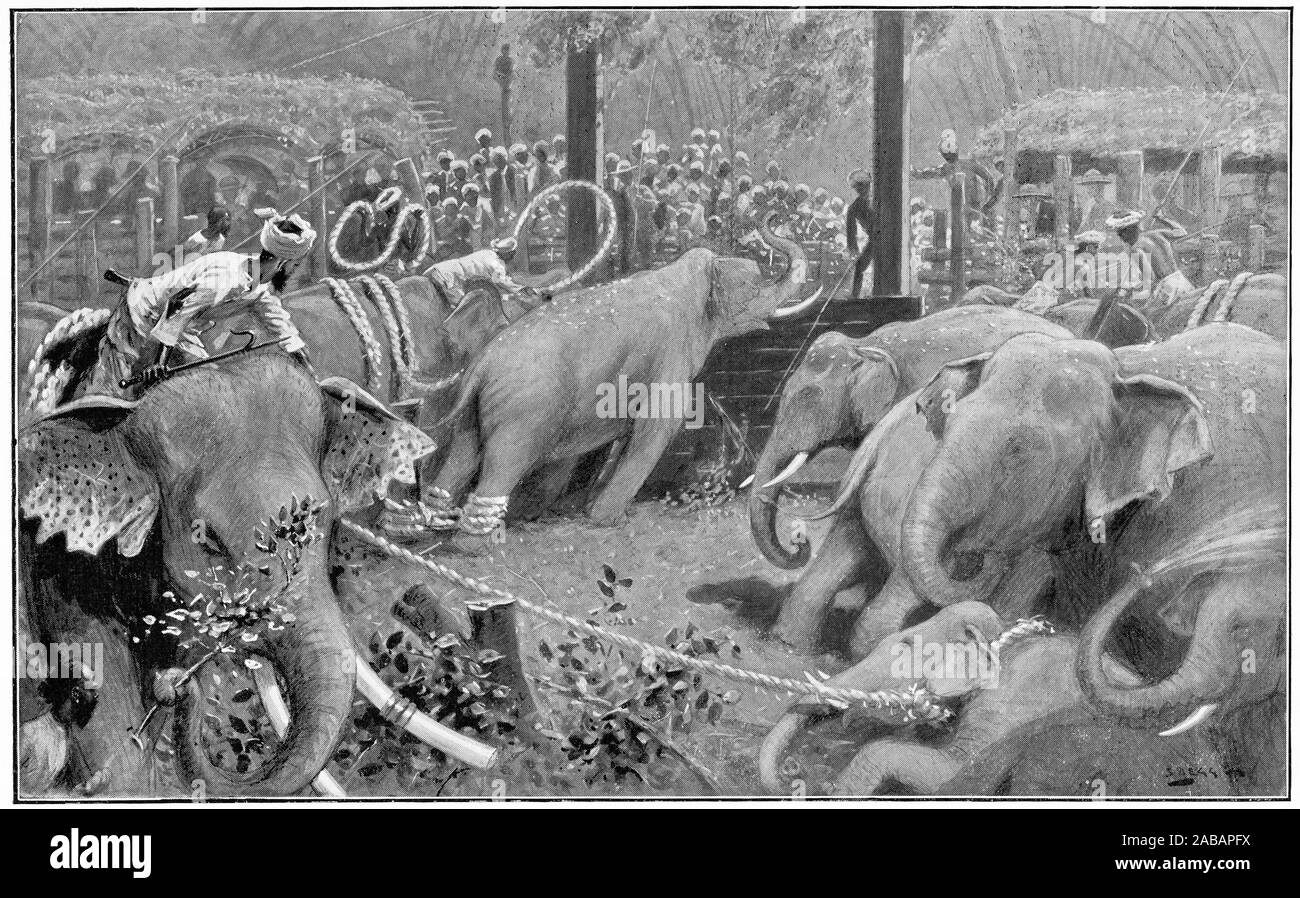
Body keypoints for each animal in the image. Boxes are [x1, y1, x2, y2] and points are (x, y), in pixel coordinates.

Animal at [421, 218, 821, 532]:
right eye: (754, 285)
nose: (766, 220)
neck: (680, 273)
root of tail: (481, 366)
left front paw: (583, 509)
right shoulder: (669, 349)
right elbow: (660, 423)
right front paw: (607, 520)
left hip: (477, 411)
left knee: (462, 455)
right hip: (524, 409)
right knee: (506, 461)